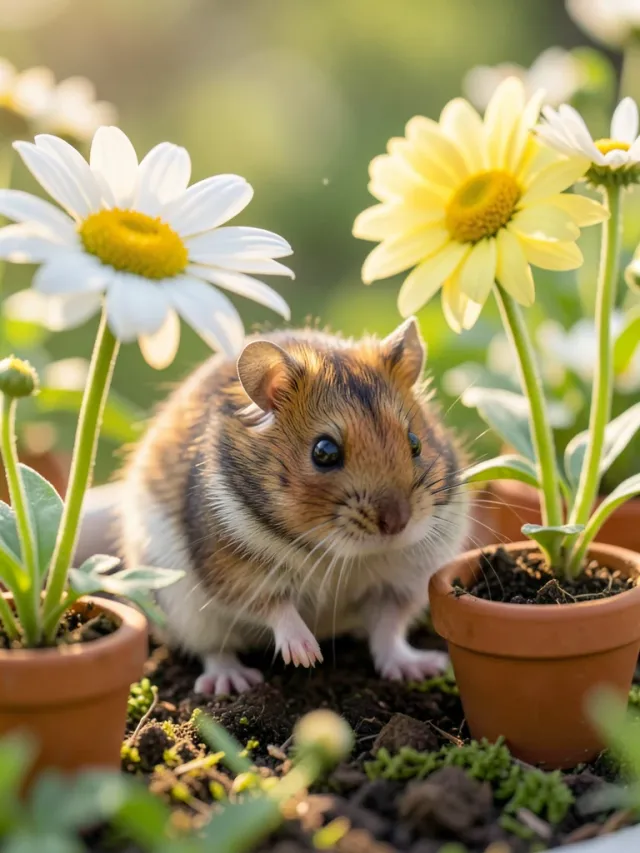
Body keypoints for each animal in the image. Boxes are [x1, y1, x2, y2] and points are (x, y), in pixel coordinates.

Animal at [119, 317, 470, 695]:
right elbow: (277, 608)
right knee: (214, 649)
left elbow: (388, 628)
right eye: (324, 452)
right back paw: (232, 682)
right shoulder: (236, 574)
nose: (398, 523)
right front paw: (307, 656)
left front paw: (419, 666)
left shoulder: (402, 582)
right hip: (182, 608)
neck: (342, 555)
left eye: (415, 442)